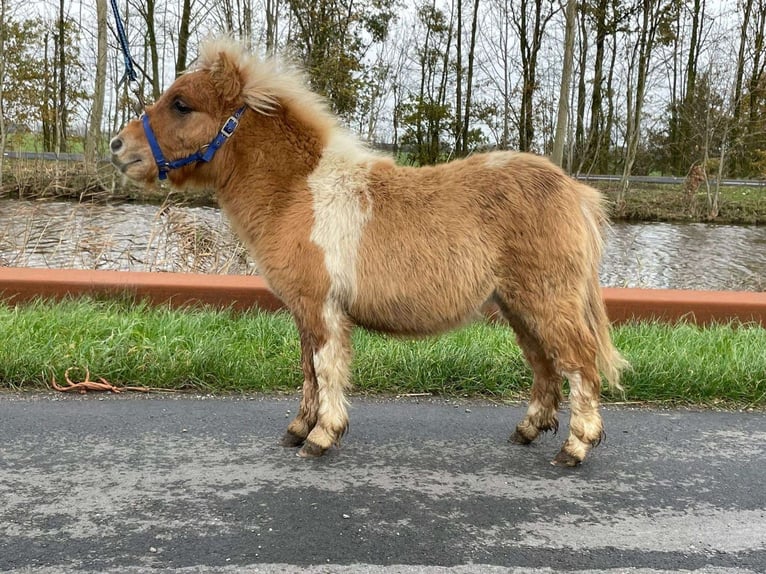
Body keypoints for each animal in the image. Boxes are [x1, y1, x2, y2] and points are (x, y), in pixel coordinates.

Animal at [111, 37, 628, 468]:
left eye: (182, 104)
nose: (119, 147)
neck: (300, 192)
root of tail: (574, 191)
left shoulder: (322, 309)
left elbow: (326, 369)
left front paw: (322, 436)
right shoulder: (305, 310)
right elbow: (308, 371)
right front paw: (298, 429)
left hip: (546, 301)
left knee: (579, 362)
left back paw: (575, 446)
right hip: (519, 306)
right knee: (545, 364)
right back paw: (528, 430)